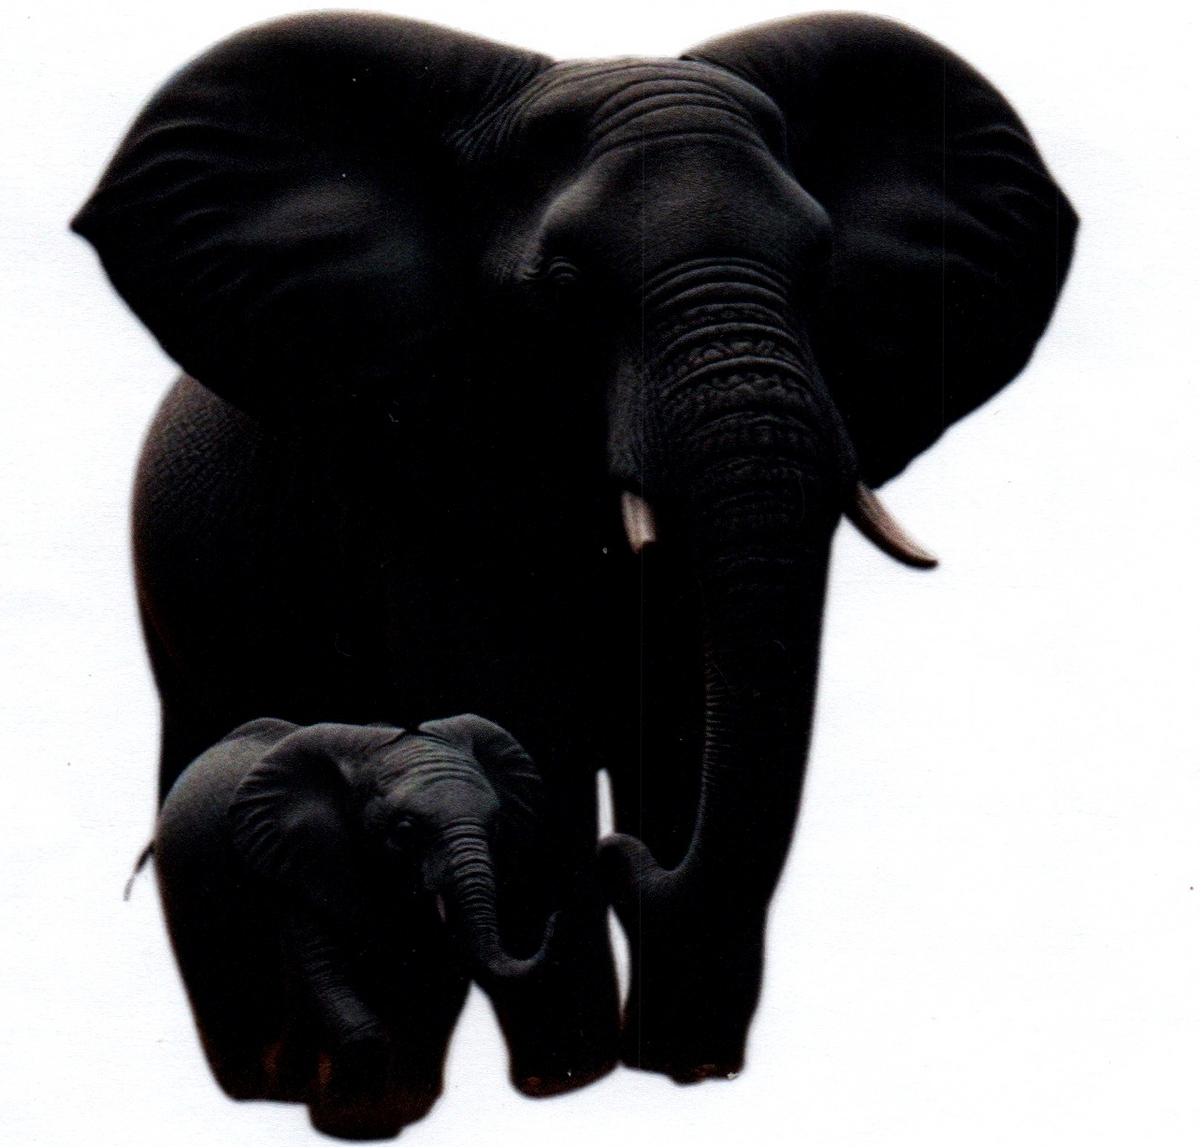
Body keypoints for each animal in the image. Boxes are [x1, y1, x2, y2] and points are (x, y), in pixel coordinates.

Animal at [73, 10, 1076, 1089]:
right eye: (563, 291)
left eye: (820, 273)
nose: (621, 857)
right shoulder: (425, 475)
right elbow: (529, 726)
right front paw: (570, 1084)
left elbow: (683, 731)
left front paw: (684, 1074)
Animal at [154, 713, 554, 1139]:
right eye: (405, 831)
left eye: (495, 827)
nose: (553, 916)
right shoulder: (298, 861)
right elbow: (330, 977)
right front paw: (352, 1123)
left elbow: (434, 989)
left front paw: (399, 1114)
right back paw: (253, 1094)